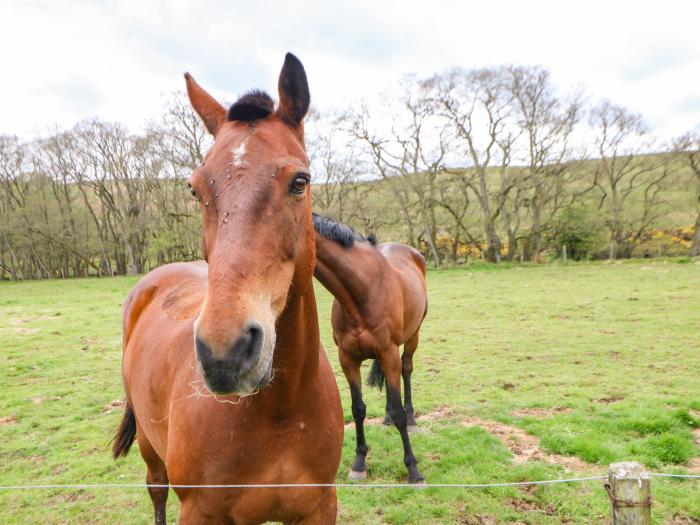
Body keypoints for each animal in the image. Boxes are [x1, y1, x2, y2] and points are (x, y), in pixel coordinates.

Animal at [110, 55, 344, 520]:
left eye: (300, 181)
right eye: (194, 188)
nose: (226, 352)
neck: (281, 411)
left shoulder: (319, 508)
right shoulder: (201, 512)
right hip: (149, 447)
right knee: (156, 490)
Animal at [312, 216, 426, 484]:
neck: (362, 293)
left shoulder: (389, 353)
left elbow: (398, 411)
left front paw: (413, 469)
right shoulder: (347, 358)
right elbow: (358, 409)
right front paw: (359, 463)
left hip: (412, 337)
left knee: (406, 370)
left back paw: (412, 418)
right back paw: (385, 418)